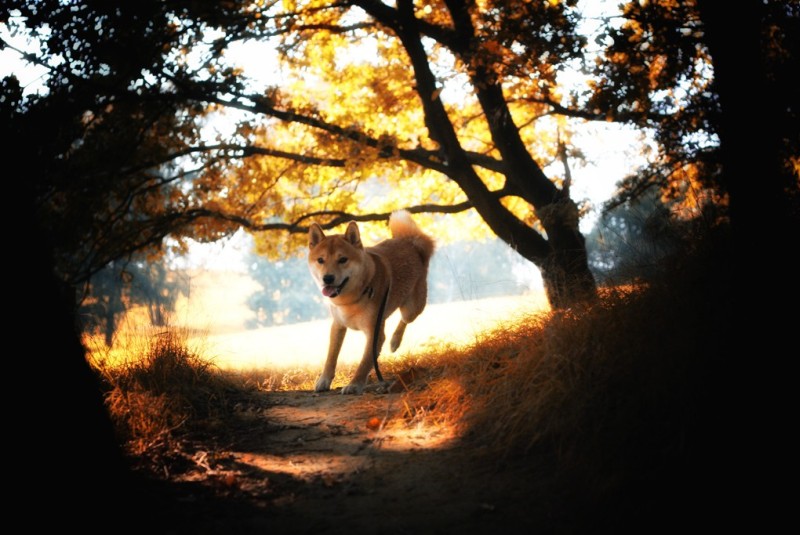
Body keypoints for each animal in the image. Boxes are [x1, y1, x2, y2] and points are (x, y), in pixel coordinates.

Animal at [306, 211, 434, 396]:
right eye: (320, 260)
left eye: (343, 259)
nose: (327, 278)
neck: (352, 298)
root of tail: (410, 242)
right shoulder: (337, 326)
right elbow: (331, 357)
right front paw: (324, 380)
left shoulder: (374, 333)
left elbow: (365, 362)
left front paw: (354, 384)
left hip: (412, 308)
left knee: (404, 320)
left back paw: (395, 341)